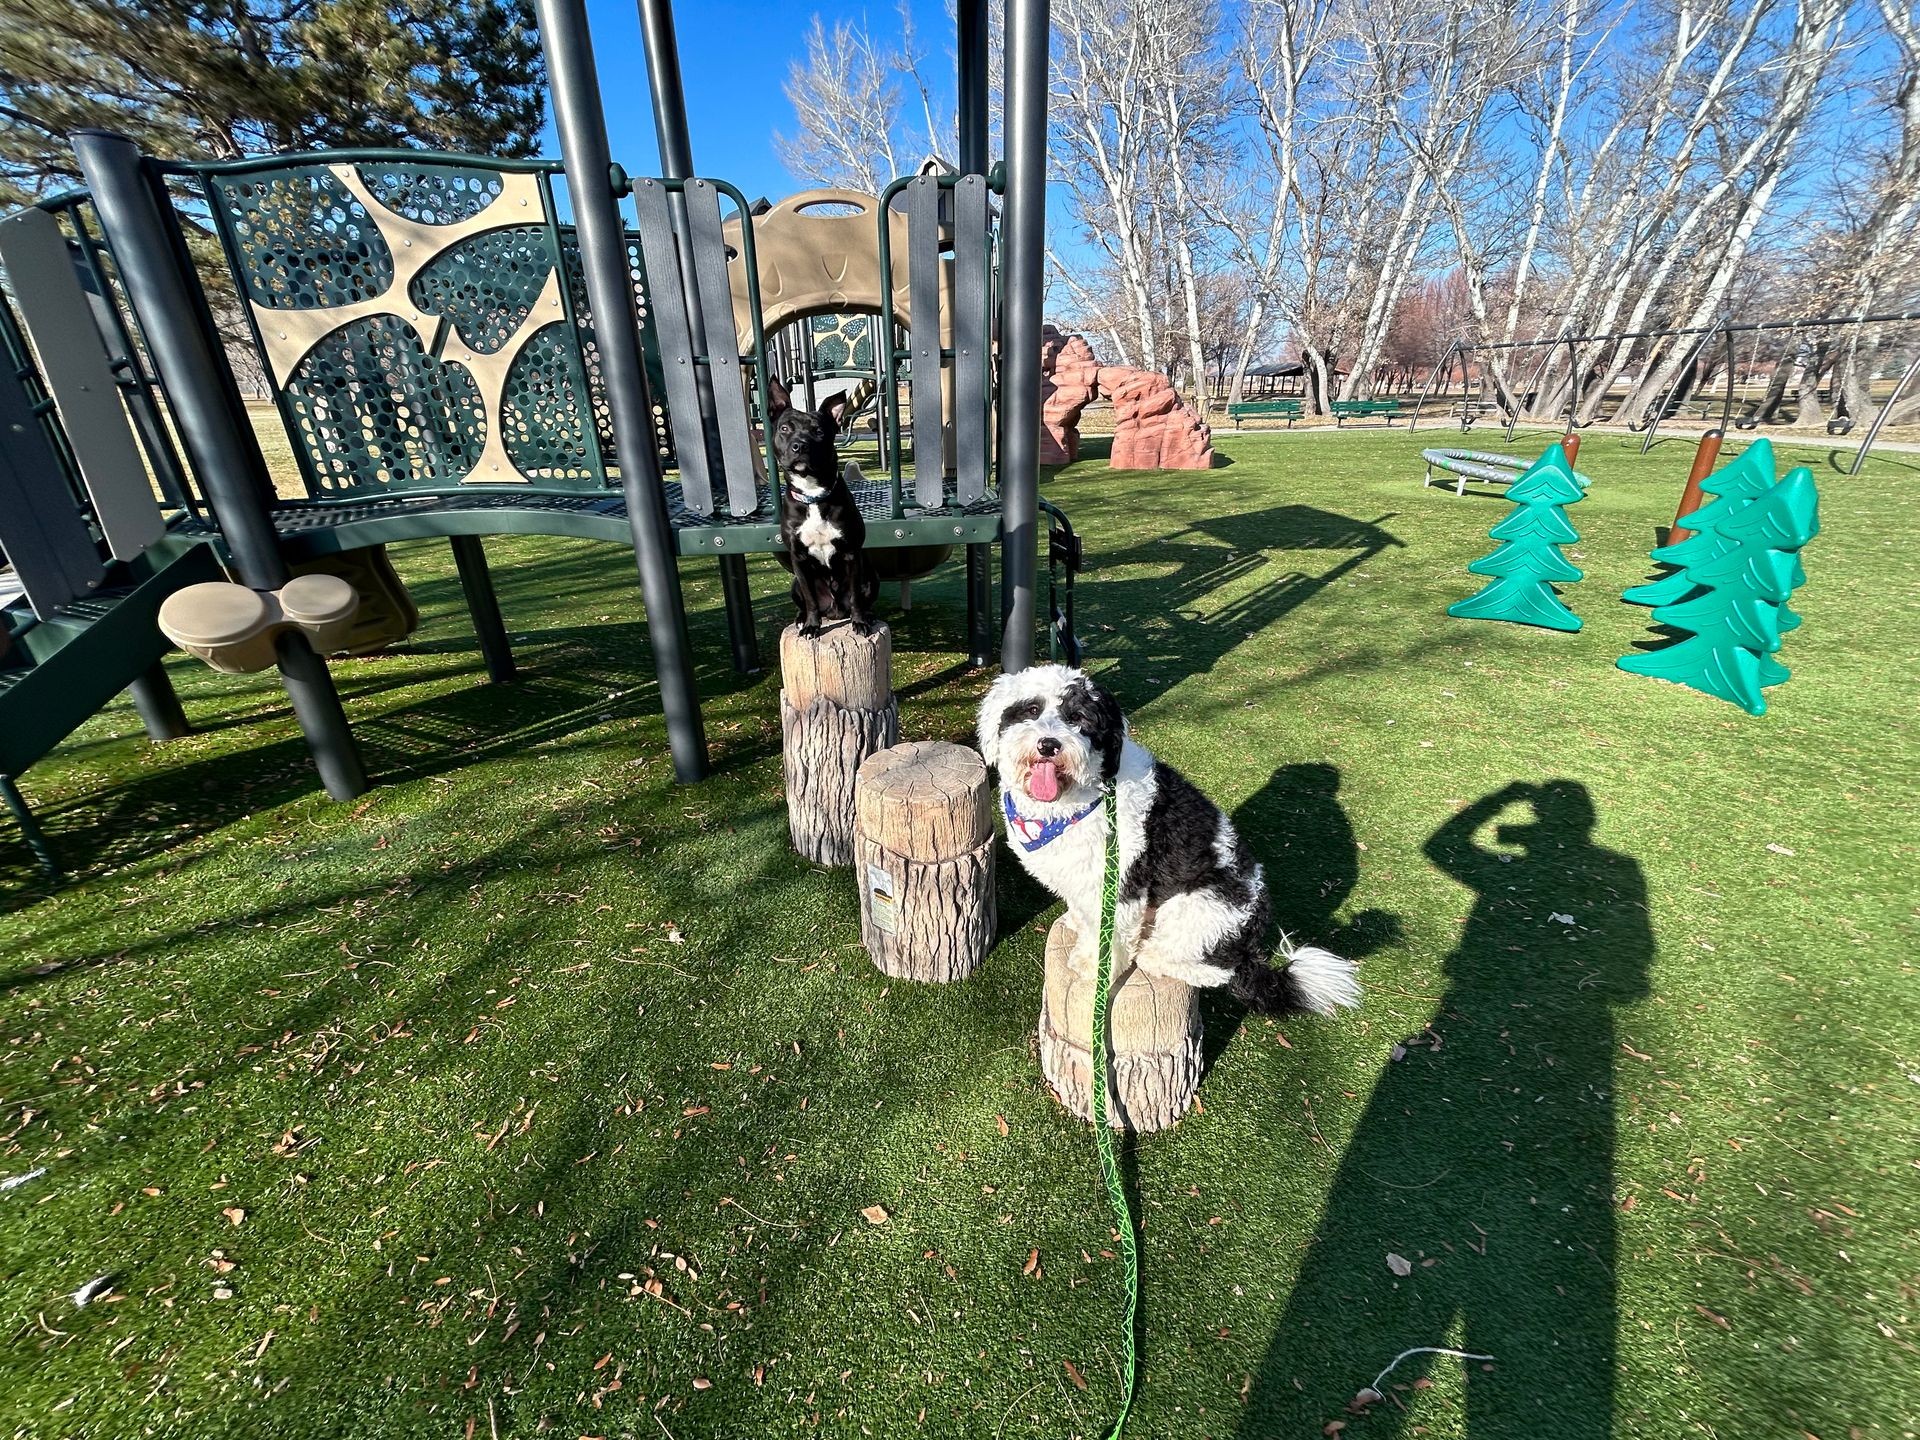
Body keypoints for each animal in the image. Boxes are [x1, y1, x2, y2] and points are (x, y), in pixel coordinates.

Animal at [768, 378, 879, 637]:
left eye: (818, 431)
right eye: (784, 429)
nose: (800, 445)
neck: (814, 495)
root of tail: (834, 611)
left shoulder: (851, 554)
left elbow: (856, 596)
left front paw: (860, 622)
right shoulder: (798, 559)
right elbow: (810, 599)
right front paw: (811, 625)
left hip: (871, 576)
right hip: (795, 583)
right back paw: (801, 619)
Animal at [975, 664, 1367, 1013]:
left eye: (1079, 719)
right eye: (1031, 709)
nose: (1049, 744)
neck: (1080, 797)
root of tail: (1251, 947)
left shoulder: (1123, 882)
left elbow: (1109, 934)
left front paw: (1092, 964)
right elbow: (1085, 910)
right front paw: (1076, 922)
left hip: (1200, 907)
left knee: (1214, 971)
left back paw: (1153, 954)